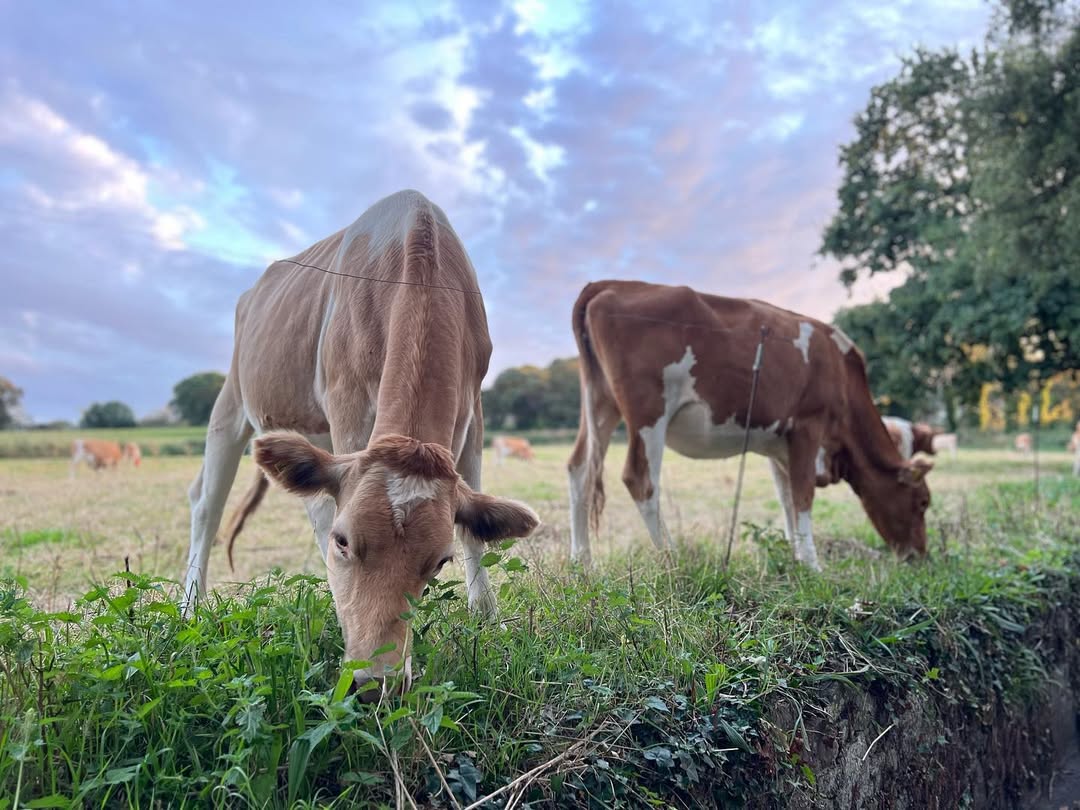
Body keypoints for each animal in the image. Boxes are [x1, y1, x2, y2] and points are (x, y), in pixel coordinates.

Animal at [184, 190, 539, 696]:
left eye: (439, 562)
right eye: (345, 541)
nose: (376, 681)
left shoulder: (473, 411)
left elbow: (475, 529)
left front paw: (487, 619)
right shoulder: (347, 403)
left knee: (311, 503)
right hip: (232, 399)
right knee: (206, 502)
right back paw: (189, 608)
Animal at [567, 281, 933, 570]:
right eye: (922, 502)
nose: (919, 557)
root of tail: (608, 284)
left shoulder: (778, 443)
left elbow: (787, 498)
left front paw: (795, 557)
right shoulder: (808, 425)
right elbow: (803, 494)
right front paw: (813, 565)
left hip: (600, 403)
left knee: (579, 469)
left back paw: (582, 563)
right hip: (648, 411)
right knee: (640, 479)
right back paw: (673, 558)